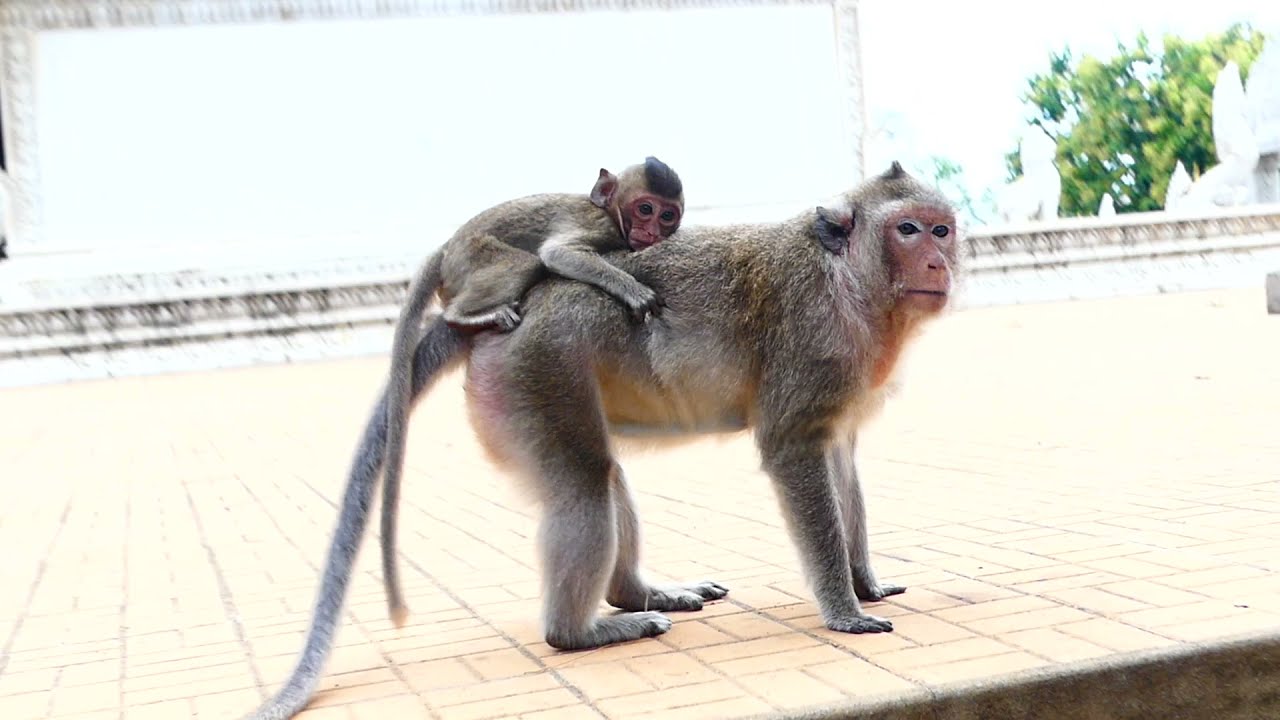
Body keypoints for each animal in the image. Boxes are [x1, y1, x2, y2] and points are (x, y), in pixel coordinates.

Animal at [379, 157, 684, 628]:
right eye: (645, 209)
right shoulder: (598, 226)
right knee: (522, 264)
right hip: (476, 260)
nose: (652, 231)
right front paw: (630, 289)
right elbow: (561, 254)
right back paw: (469, 314)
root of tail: (447, 248)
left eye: (668, 215)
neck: (611, 212)